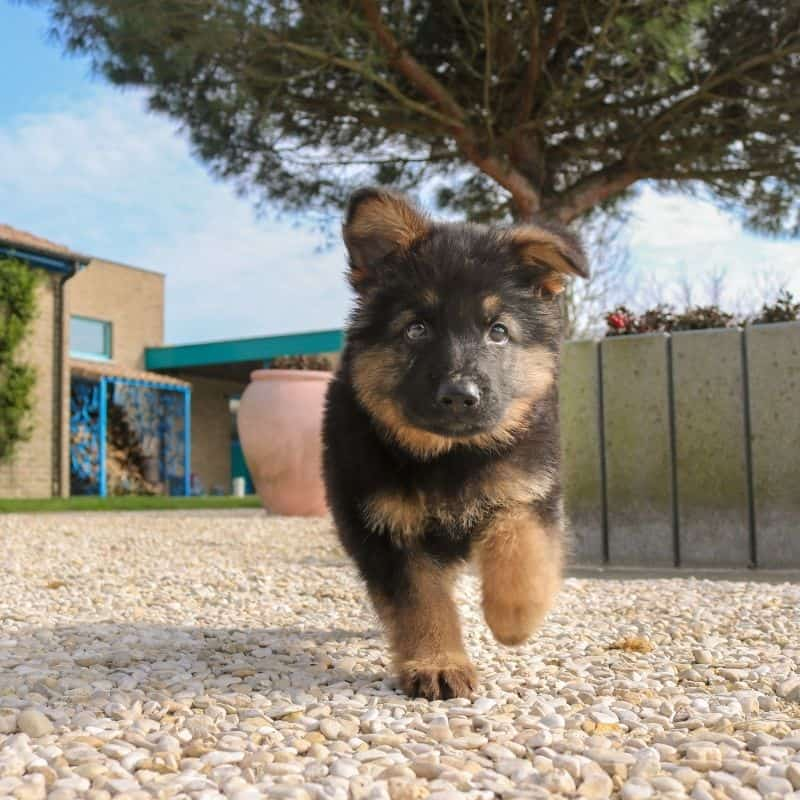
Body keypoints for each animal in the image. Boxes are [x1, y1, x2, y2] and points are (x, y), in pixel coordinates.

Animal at [320, 188, 588, 700]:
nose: (460, 396)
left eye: (498, 330)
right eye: (417, 328)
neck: (450, 458)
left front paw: (513, 619)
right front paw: (437, 663)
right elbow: (420, 601)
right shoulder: (385, 529)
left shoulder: (529, 492)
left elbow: (520, 547)